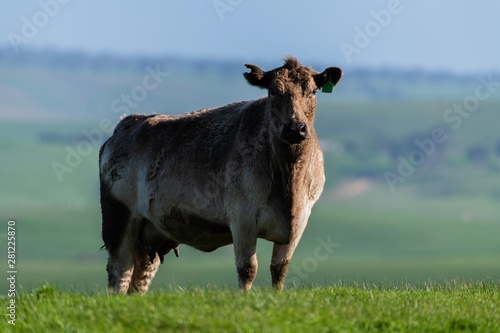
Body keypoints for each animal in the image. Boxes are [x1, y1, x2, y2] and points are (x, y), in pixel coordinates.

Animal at [100, 55, 344, 292]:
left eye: (313, 91)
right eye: (273, 91)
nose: (295, 128)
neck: (289, 182)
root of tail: (128, 122)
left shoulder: (300, 221)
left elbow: (280, 269)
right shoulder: (243, 218)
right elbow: (248, 268)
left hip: (152, 232)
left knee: (139, 279)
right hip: (119, 217)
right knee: (119, 272)